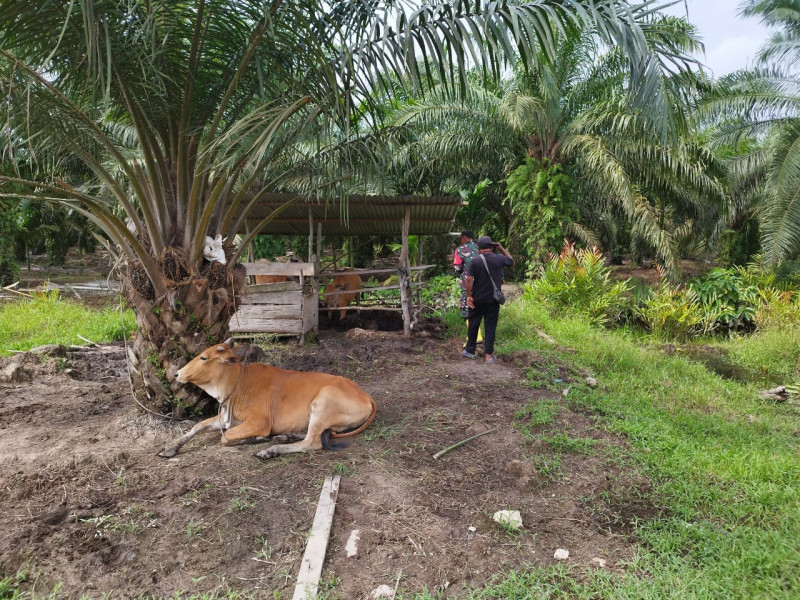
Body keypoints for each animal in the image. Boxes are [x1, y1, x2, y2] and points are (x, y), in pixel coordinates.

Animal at [161, 338, 380, 460]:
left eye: (204, 357)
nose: (176, 374)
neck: (237, 385)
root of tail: (364, 394)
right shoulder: (227, 419)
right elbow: (197, 426)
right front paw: (170, 447)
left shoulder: (259, 422)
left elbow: (225, 437)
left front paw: (257, 439)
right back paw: (284, 437)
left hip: (323, 402)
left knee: (312, 442)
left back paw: (271, 450)